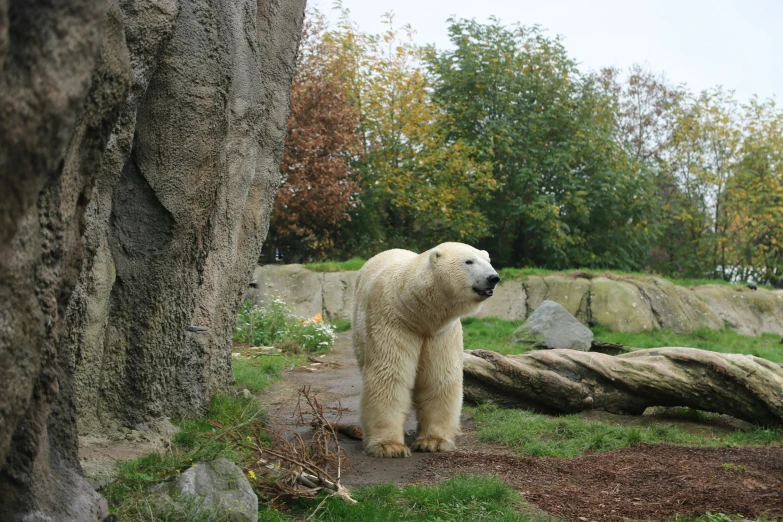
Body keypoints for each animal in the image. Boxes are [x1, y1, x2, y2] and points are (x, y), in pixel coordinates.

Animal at [352, 240, 500, 456]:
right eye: (469, 261)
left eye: (488, 260)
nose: (493, 278)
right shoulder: (392, 322)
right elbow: (390, 375)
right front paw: (390, 446)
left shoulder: (441, 332)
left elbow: (439, 377)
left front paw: (433, 442)